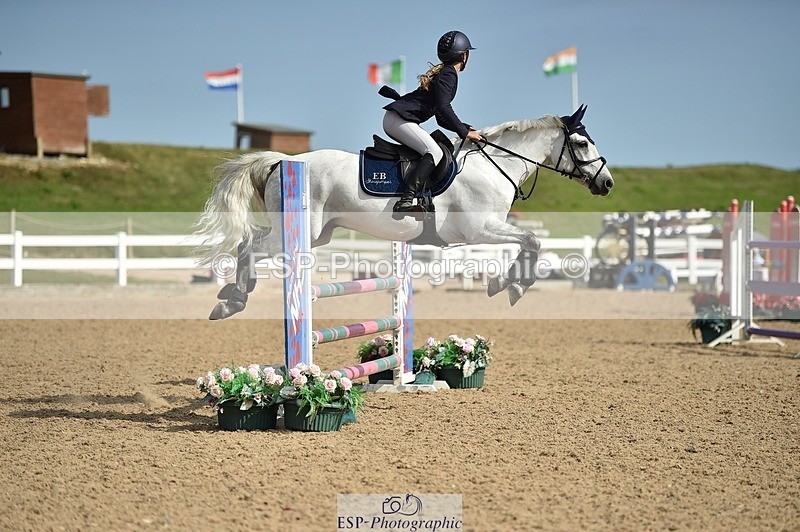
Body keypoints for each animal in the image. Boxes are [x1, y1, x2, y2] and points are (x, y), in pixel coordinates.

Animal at [195, 104, 613, 320]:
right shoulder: (480, 229)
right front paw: (512, 286)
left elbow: (530, 243)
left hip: (316, 234)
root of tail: (282, 161)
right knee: (251, 245)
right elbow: (532, 241)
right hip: (299, 232)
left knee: (250, 242)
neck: (494, 164)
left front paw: (502, 283)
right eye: (581, 143)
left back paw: (233, 294)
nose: (607, 183)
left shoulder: (489, 229)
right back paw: (234, 299)